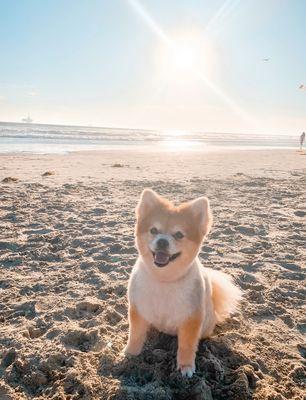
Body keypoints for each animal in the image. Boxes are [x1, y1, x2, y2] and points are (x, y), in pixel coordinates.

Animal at [123, 189, 241, 376]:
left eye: (178, 234)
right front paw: (131, 353)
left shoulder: (191, 318)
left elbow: (187, 346)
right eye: (153, 230)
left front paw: (185, 366)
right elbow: (135, 334)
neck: (164, 279)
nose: (162, 241)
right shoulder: (138, 310)